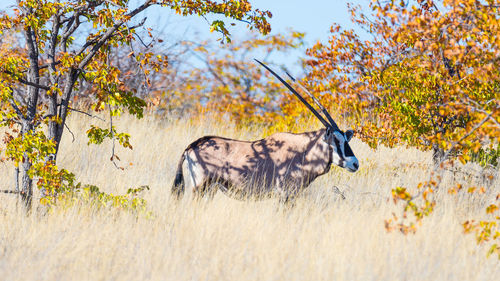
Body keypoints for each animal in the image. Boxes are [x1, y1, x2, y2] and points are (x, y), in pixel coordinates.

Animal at [172, 59, 360, 200]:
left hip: (209, 190)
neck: (303, 151)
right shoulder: (284, 195)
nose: (355, 163)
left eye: (346, 139)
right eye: (336, 140)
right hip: (200, 188)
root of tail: (192, 146)